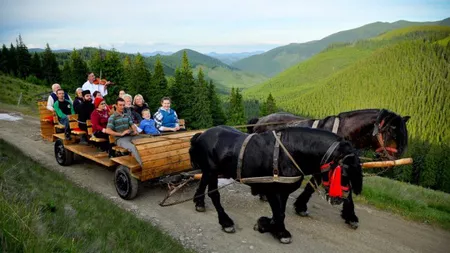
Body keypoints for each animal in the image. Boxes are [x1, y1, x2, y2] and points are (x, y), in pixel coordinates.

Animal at [189, 125, 362, 244]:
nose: (340, 199)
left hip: (208, 172)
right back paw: (225, 221)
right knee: (214, 194)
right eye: (344, 173)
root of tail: (202, 134)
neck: (288, 152)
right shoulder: (271, 189)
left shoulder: (283, 190)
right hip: (212, 171)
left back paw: (199, 202)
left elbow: (281, 212)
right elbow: (278, 212)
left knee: (202, 184)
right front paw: (279, 231)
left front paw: (270, 225)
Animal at [248, 107, 410, 222]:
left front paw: (350, 216)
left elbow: (346, 189)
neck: (343, 133)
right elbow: (312, 185)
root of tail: (261, 119)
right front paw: (301, 207)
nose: (393, 161)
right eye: (392, 132)